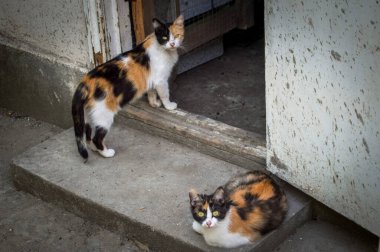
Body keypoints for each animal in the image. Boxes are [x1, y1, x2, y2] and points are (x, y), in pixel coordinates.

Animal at [72, 15, 185, 159]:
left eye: (176, 35)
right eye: (165, 37)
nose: (172, 44)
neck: (162, 48)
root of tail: (84, 84)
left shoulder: (152, 80)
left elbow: (151, 92)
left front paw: (154, 104)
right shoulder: (161, 80)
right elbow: (165, 94)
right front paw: (169, 106)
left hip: (88, 116)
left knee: (88, 134)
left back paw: (94, 149)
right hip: (104, 115)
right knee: (97, 138)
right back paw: (106, 153)